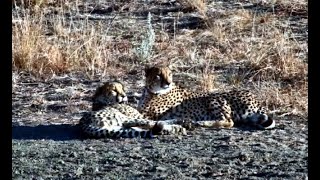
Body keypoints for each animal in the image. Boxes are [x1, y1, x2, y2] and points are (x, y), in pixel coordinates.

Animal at [137, 64, 276, 129]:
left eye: (170, 74)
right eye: (158, 75)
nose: (168, 83)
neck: (150, 91)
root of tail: (255, 98)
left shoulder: (148, 114)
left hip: (215, 99)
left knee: (228, 121)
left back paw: (201, 122)